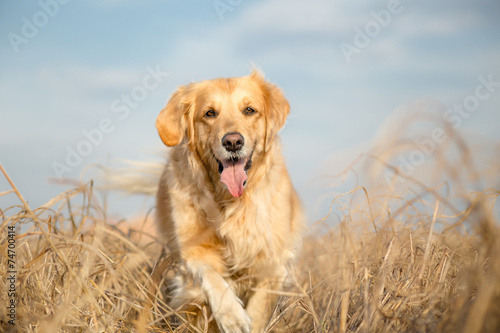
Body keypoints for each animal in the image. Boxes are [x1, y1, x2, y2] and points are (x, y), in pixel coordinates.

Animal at [156, 70, 304, 332]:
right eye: (209, 113)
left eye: (249, 110)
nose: (233, 142)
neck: (230, 201)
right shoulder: (193, 252)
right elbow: (212, 276)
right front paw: (231, 315)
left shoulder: (272, 264)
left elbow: (259, 311)